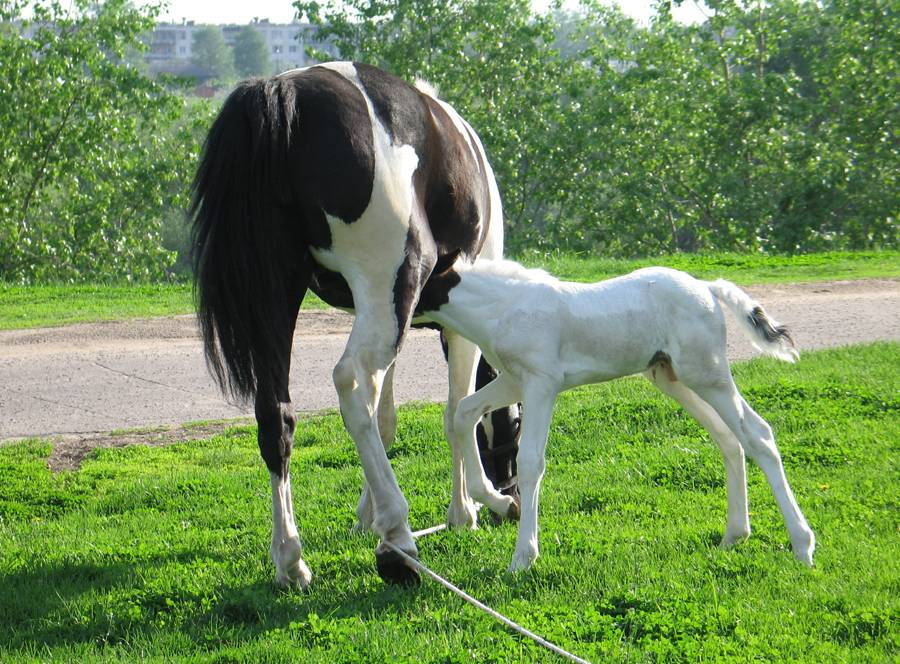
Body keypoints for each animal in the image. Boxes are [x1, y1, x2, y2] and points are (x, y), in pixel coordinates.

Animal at [190, 62, 520, 588]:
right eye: (519, 423)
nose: (511, 490)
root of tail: (279, 92)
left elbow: (384, 420)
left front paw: (367, 515)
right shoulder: (452, 325)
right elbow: (455, 412)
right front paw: (467, 508)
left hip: (288, 295)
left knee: (279, 413)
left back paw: (291, 558)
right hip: (388, 285)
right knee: (351, 381)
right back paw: (398, 540)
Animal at [421, 260, 816, 571]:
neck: (503, 307)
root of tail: (706, 287)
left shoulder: (541, 384)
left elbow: (531, 461)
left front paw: (523, 557)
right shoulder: (513, 381)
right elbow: (464, 413)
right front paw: (499, 503)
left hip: (708, 374)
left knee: (757, 434)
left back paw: (802, 544)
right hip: (673, 378)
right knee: (729, 439)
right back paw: (734, 535)